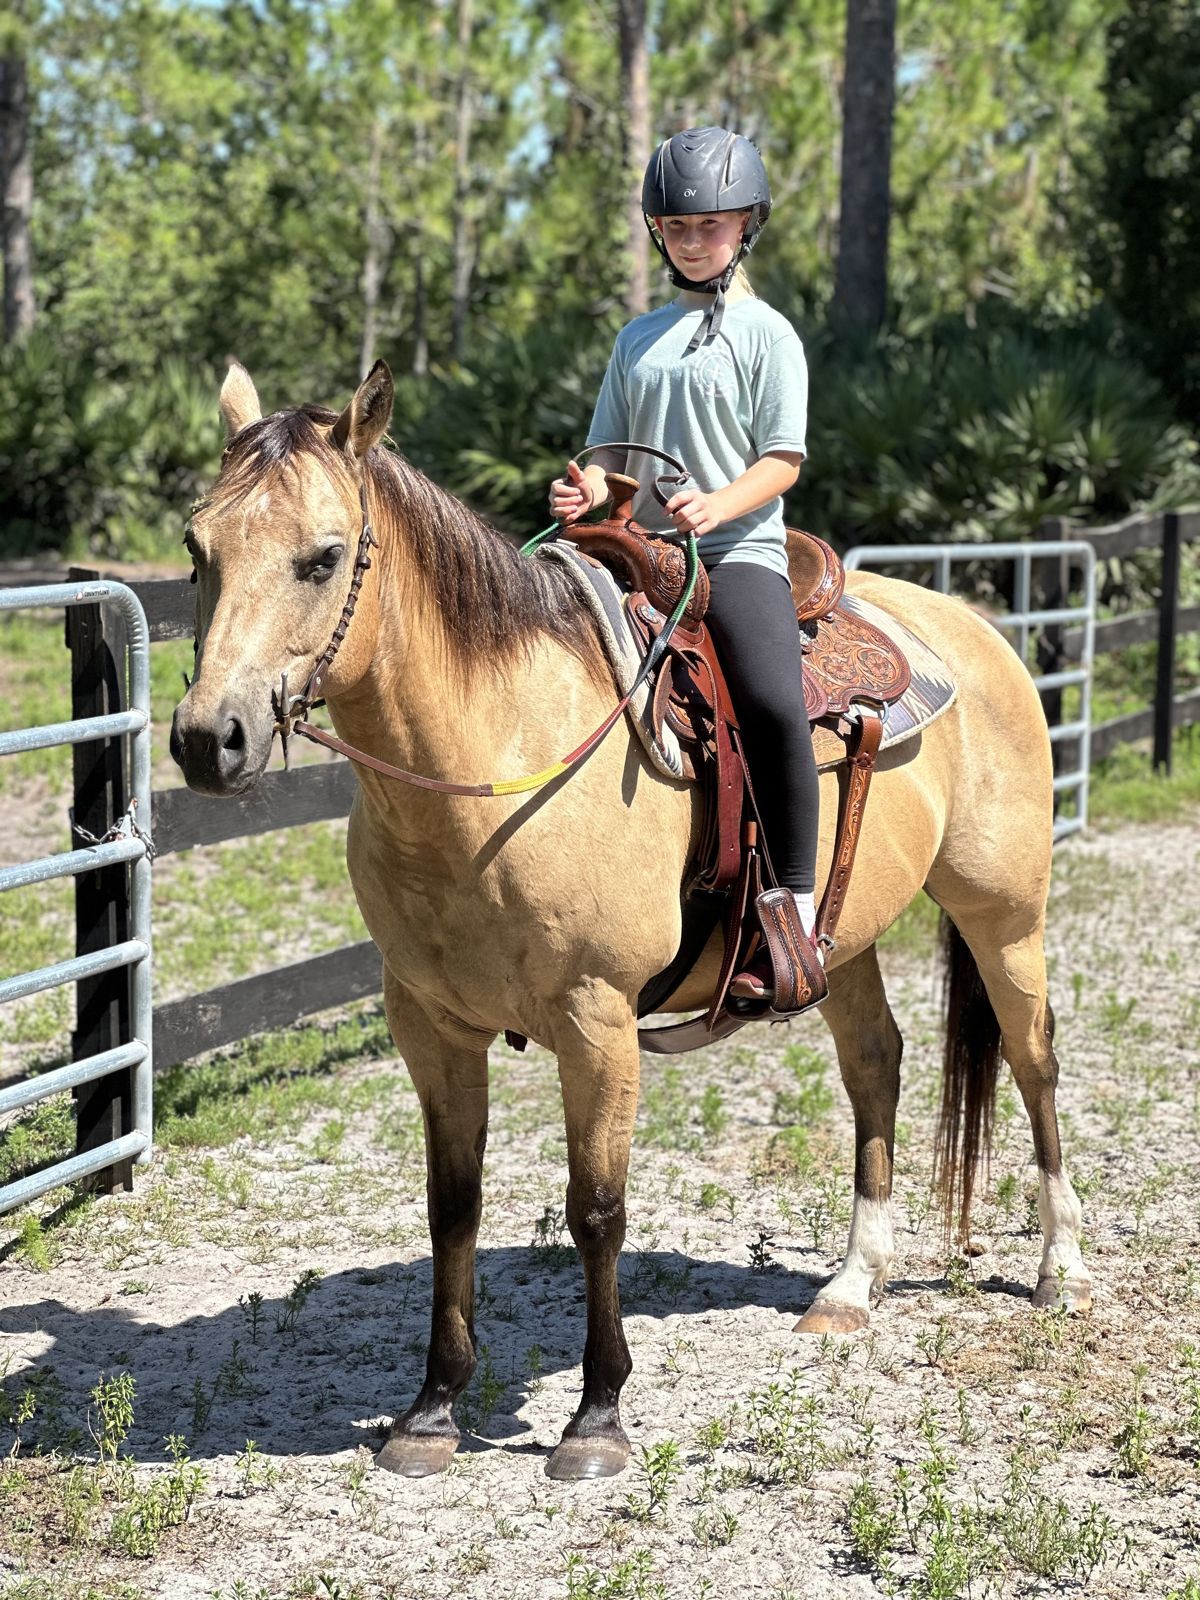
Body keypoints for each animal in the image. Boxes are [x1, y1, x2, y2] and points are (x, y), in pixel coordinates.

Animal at [170, 359, 1090, 1482]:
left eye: (323, 556)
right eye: (198, 548)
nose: (209, 738)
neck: (495, 757)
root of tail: (972, 627)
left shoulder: (597, 1021)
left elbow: (596, 1211)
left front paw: (597, 1416)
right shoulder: (427, 1024)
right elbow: (451, 1205)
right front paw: (432, 1408)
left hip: (1005, 915)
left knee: (1036, 1060)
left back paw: (1060, 1266)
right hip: (846, 939)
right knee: (876, 1062)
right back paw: (851, 1284)